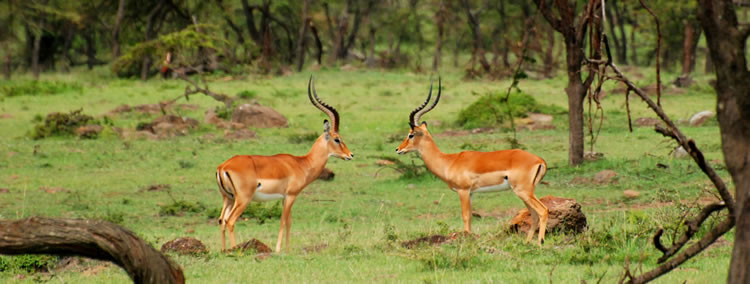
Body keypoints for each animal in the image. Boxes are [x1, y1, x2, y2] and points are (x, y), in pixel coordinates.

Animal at [214, 76, 356, 252]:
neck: (302, 163)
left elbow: (289, 222)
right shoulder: (291, 196)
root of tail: (223, 166)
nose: (350, 155)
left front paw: (288, 250)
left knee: (221, 220)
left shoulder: (285, 198)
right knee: (230, 221)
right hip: (243, 199)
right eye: (337, 139)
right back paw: (236, 251)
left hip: (228, 198)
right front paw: (278, 250)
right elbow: (283, 222)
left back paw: (224, 251)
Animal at [396, 79, 548, 245]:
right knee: (534, 214)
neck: (449, 161)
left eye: (411, 134)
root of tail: (540, 160)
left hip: (523, 191)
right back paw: (527, 242)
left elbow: (465, 216)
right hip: (526, 192)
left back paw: (540, 243)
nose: (398, 149)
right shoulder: (472, 193)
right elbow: (470, 218)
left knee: (543, 210)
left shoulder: (463, 191)